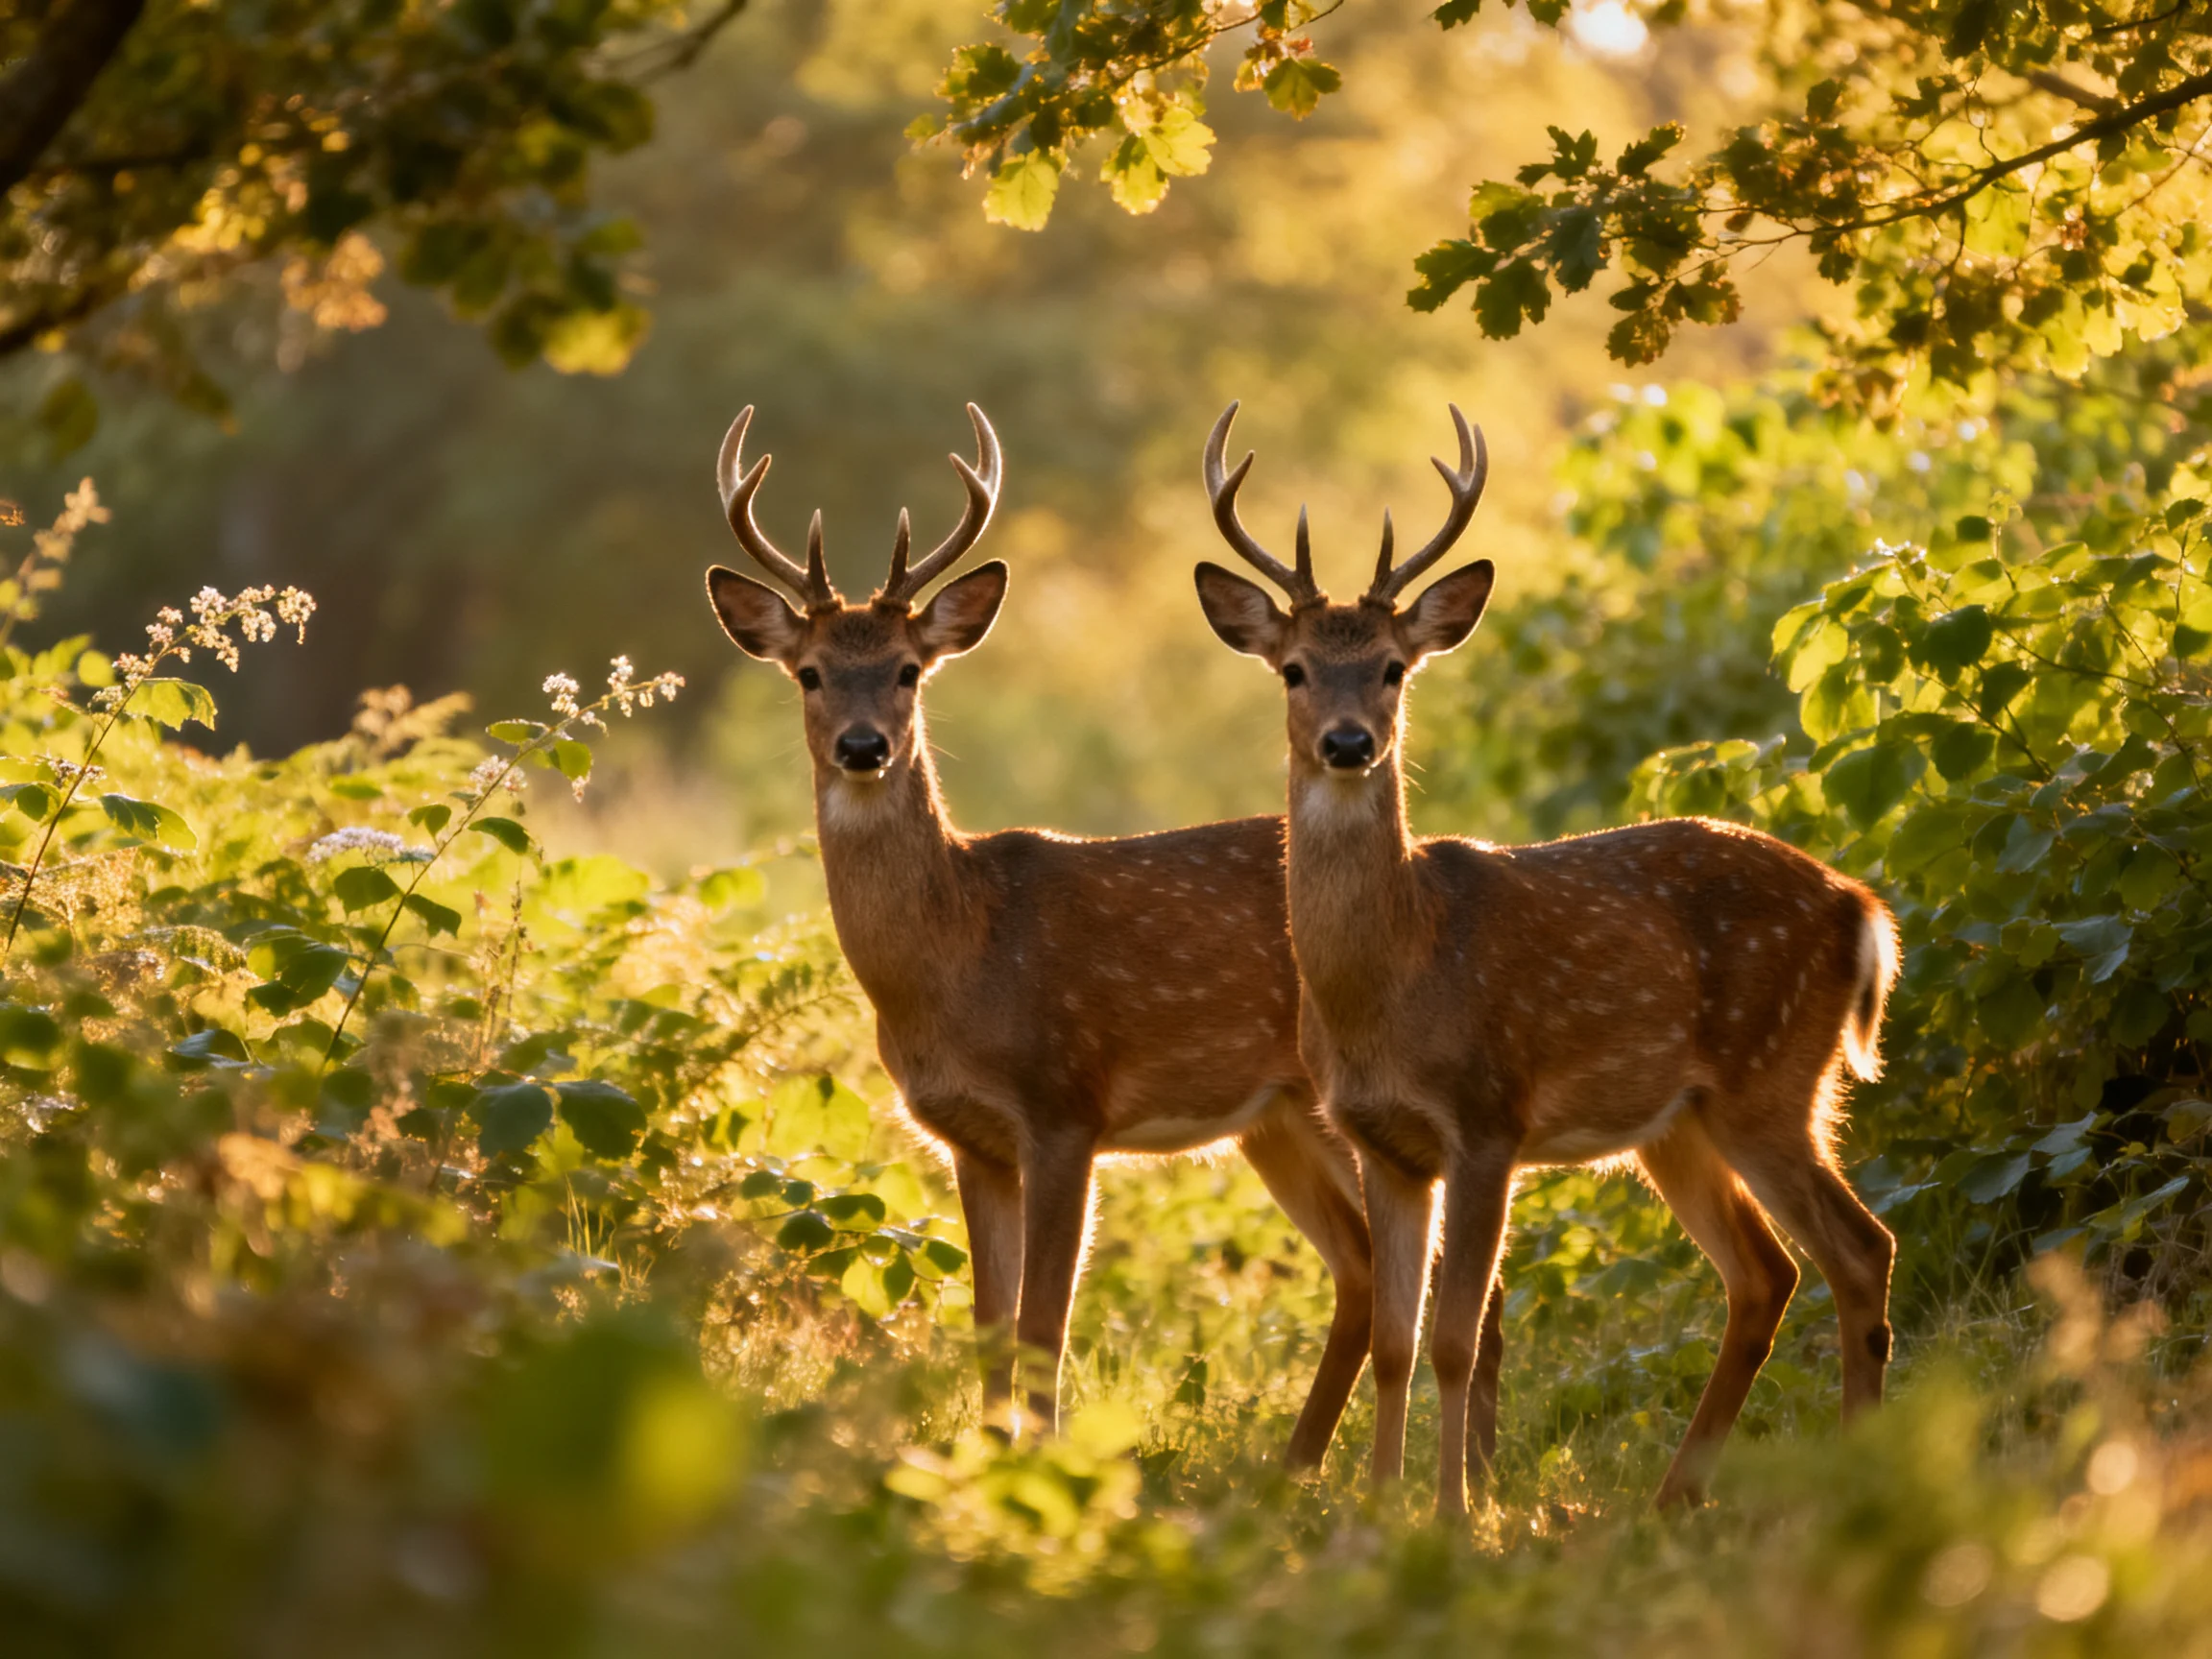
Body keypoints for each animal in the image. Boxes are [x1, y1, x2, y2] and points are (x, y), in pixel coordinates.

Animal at [703, 402, 1427, 1467]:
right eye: (809, 673)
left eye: (910, 671)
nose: (865, 746)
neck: (960, 959)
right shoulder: (969, 1136)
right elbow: (986, 1323)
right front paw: (985, 1462)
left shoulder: (1064, 1106)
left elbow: (1044, 1322)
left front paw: (1040, 1470)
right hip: (1279, 1117)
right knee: (1364, 1267)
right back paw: (1295, 1469)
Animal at [1190, 400, 1901, 1517]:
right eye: (1294, 669)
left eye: (1393, 668)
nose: (1349, 743)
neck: (1392, 981)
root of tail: (1858, 906)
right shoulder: (1383, 1142)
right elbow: (1394, 1341)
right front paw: (1380, 1509)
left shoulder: (1489, 1117)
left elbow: (1452, 1338)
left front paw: (1452, 1513)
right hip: (1682, 1120)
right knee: (1765, 1273)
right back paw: (1673, 1498)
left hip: (1773, 1078)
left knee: (1860, 1249)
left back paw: (1847, 1477)